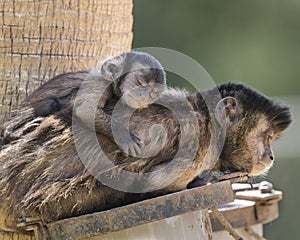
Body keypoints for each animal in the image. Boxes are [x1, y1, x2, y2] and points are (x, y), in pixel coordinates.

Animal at [1, 51, 166, 155]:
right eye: (140, 83)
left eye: (152, 93)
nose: (144, 95)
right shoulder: (100, 83)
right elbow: (86, 109)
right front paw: (123, 136)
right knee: (51, 103)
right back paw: (11, 132)